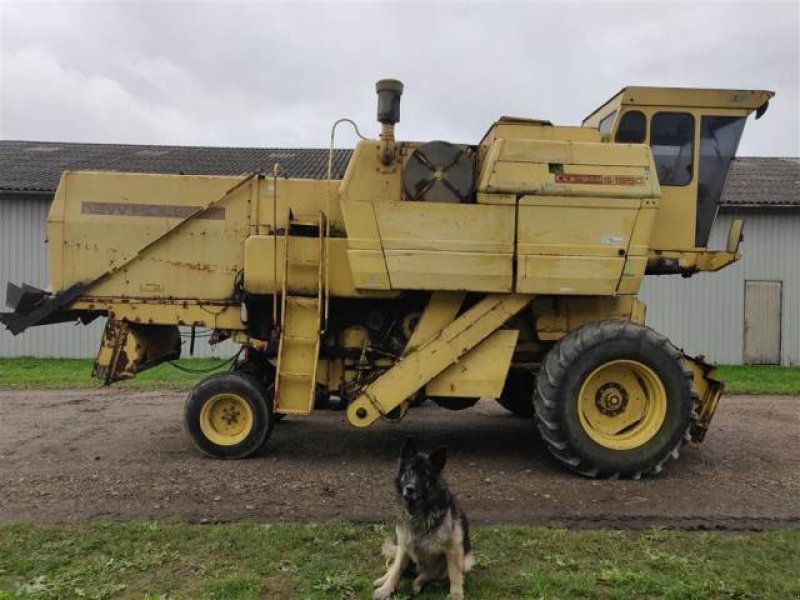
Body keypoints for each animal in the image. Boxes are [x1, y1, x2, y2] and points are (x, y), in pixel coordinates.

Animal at [374, 436, 472, 600]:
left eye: (425, 474)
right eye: (409, 471)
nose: (410, 489)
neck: (419, 512)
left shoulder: (453, 548)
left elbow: (454, 574)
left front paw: (456, 595)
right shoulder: (404, 545)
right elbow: (396, 570)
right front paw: (386, 589)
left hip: (463, 560)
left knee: (430, 575)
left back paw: (418, 583)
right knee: (395, 567)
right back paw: (384, 580)